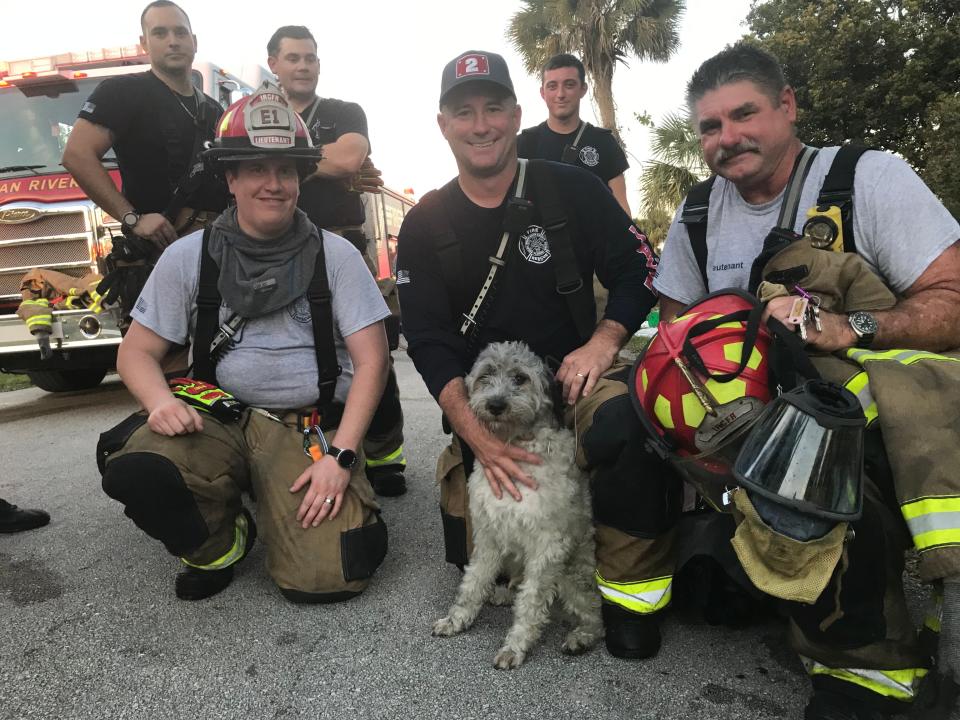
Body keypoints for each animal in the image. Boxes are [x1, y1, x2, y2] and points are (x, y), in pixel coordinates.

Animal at [434, 344, 600, 668]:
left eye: (521, 378)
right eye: (485, 375)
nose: (496, 405)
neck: (516, 446)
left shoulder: (549, 546)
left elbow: (531, 602)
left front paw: (516, 646)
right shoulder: (487, 534)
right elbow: (473, 582)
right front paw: (457, 619)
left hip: (568, 575)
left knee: (595, 614)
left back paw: (582, 637)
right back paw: (501, 593)